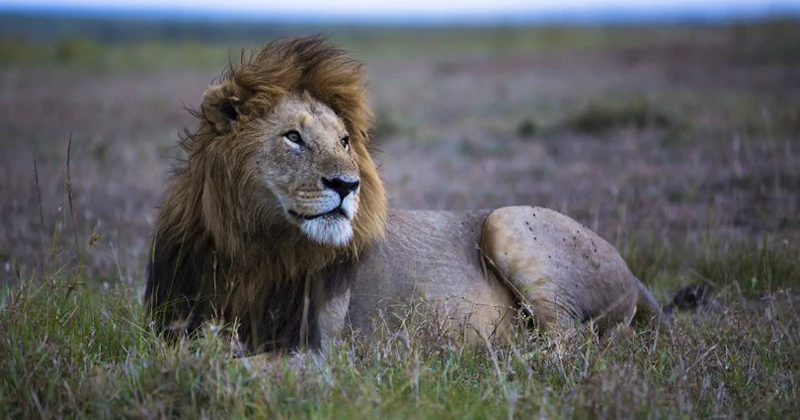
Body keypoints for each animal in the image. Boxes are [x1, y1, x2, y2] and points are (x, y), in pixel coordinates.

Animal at [145, 36, 664, 356]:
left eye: (344, 141)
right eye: (293, 137)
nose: (347, 185)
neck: (250, 250)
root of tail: (635, 276)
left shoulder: (315, 354)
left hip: (507, 222)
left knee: (570, 342)